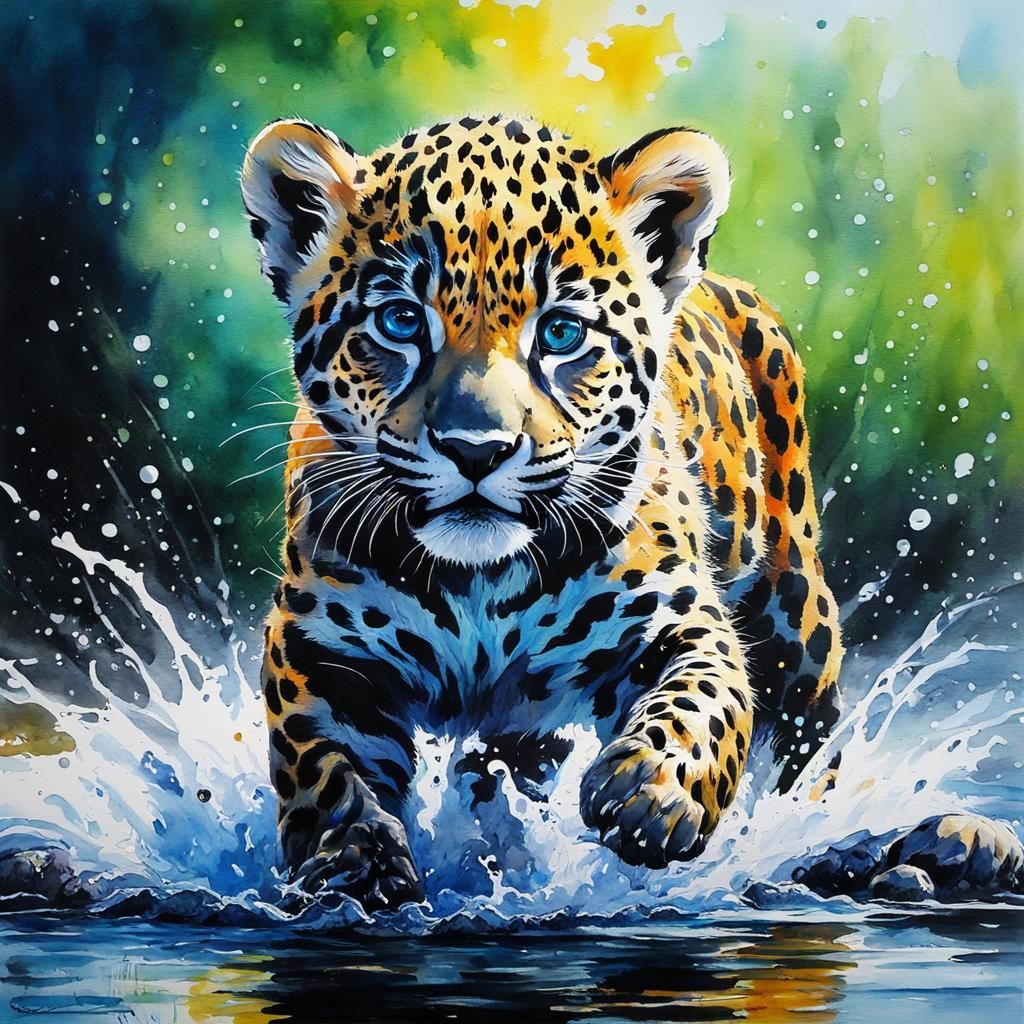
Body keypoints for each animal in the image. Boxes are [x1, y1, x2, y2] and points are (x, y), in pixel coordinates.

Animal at [240, 113, 846, 910]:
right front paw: (354, 865)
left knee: (810, 731)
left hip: (795, 611)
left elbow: (704, 697)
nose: (477, 449)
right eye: (400, 322)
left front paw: (651, 794)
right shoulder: (319, 648)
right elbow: (325, 769)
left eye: (561, 333)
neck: (477, 584)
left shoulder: (675, 613)